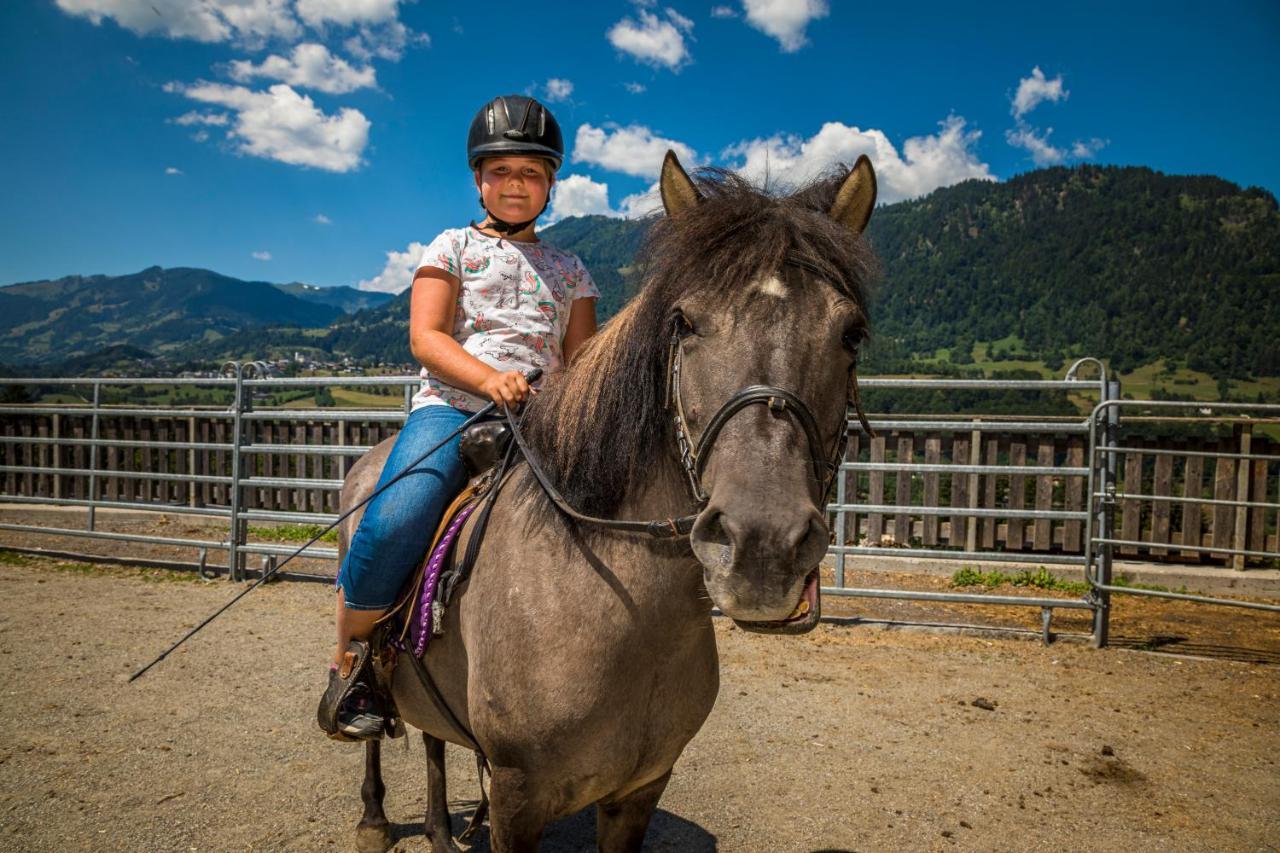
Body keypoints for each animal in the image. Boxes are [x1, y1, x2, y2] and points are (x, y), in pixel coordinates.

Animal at [337, 149, 880, 845]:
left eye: (852, 333)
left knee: (432, 737)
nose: (763, 547)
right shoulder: (515, 800)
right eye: (684, 322)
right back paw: (374, 812)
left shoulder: (639, 791)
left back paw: (435, 829)